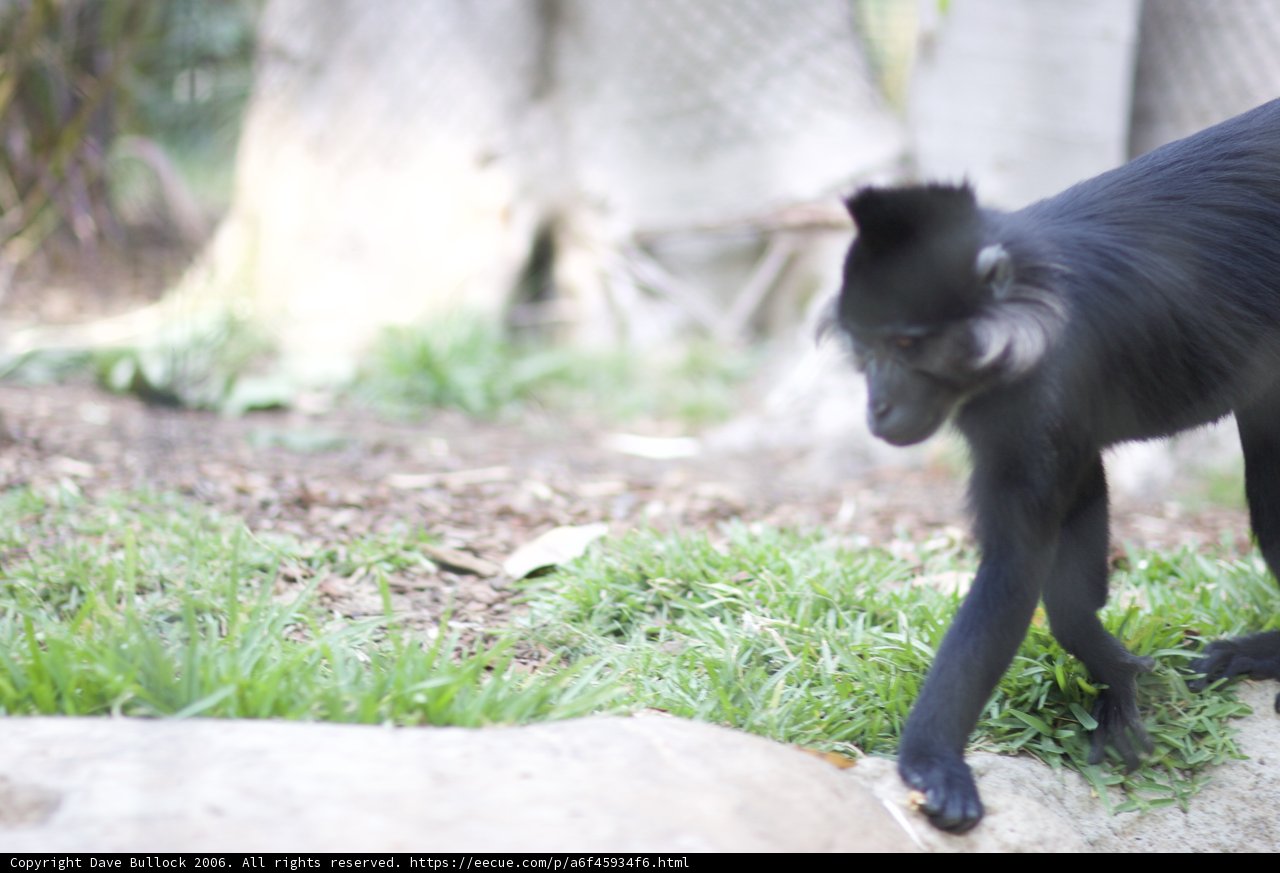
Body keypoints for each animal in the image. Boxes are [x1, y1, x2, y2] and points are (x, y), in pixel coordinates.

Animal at [831, 98, 1280, 833]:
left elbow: (1016, 563)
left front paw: (932, 762)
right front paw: (1111, 669)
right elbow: (1076, 521)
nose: (879, 405)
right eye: (867, 349)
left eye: (907, 346)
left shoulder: (1044, 384)